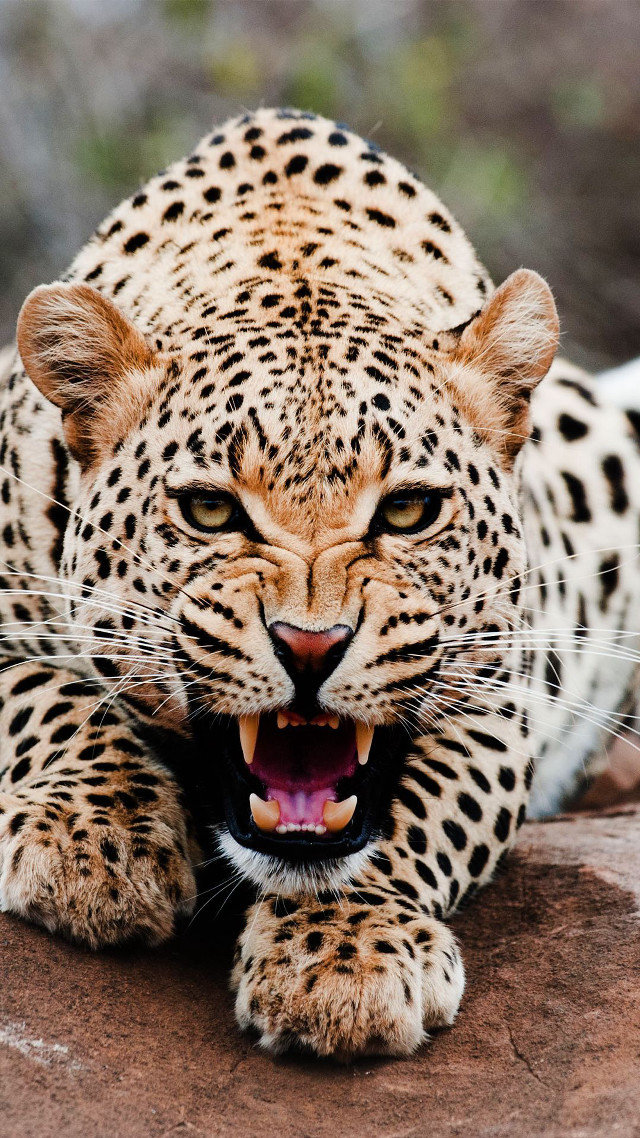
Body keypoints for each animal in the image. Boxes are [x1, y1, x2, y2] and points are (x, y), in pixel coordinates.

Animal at [1, 107, 639, 1059]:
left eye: (409, 511)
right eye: (210, 510)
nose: (310, 646)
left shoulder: (502, 686)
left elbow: (422, 811)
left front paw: (343, 957)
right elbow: (44, 697)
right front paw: (97, 845)